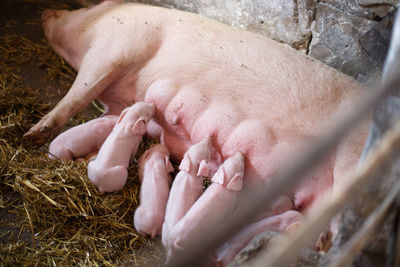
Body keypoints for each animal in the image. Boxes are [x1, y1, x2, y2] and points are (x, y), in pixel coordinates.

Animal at [23, 0, 370, 266]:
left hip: (352, 158)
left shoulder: (119, 44)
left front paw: (34, 135)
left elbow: (80, 92)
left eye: (86, 8)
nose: (47, 10)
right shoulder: (116, 106)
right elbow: (108, 120)